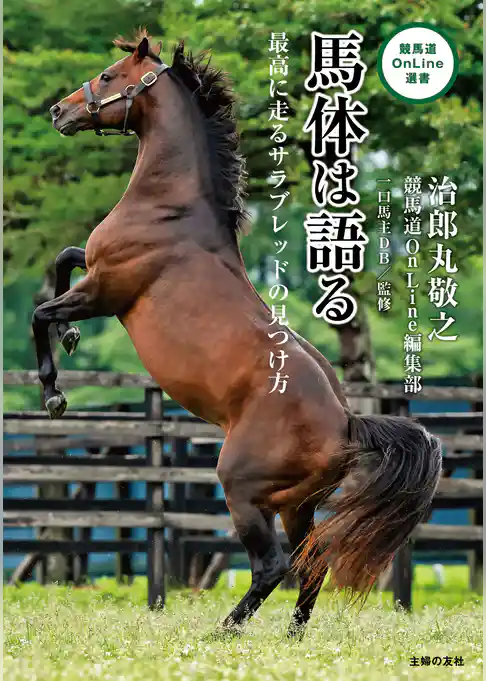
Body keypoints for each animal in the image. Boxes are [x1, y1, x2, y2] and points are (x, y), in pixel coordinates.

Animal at [34, 30, 442, 637]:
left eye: (109, 76)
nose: (60, 111)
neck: (171, 209)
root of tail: (347, 424)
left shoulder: (108, 289)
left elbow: (43, 311)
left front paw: (55, 390)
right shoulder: (94, 269)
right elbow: (63, 258)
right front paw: (71, 339)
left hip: (244, 490)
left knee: (273, 564)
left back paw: (226, 631)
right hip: (298, 504)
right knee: (311, 562)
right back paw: (292, 639)